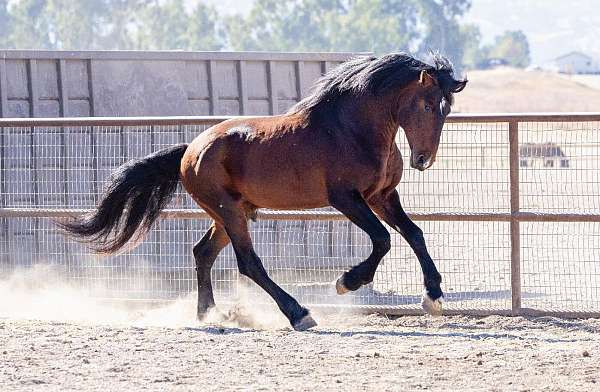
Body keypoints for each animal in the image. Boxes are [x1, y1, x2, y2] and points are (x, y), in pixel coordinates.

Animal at [58, 52, 466, 330]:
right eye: (427, 104)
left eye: (447, 109)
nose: (423, 160)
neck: (352, 129)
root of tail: (190, 149)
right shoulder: (346, 199)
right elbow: (383, 239)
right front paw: (346, 282)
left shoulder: (382, 197)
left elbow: (414, 233)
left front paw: (433, 297)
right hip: (229, 212)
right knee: (248, 262)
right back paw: (299, 314)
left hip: (228, 213)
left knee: (203, 253)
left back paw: (209, 314)